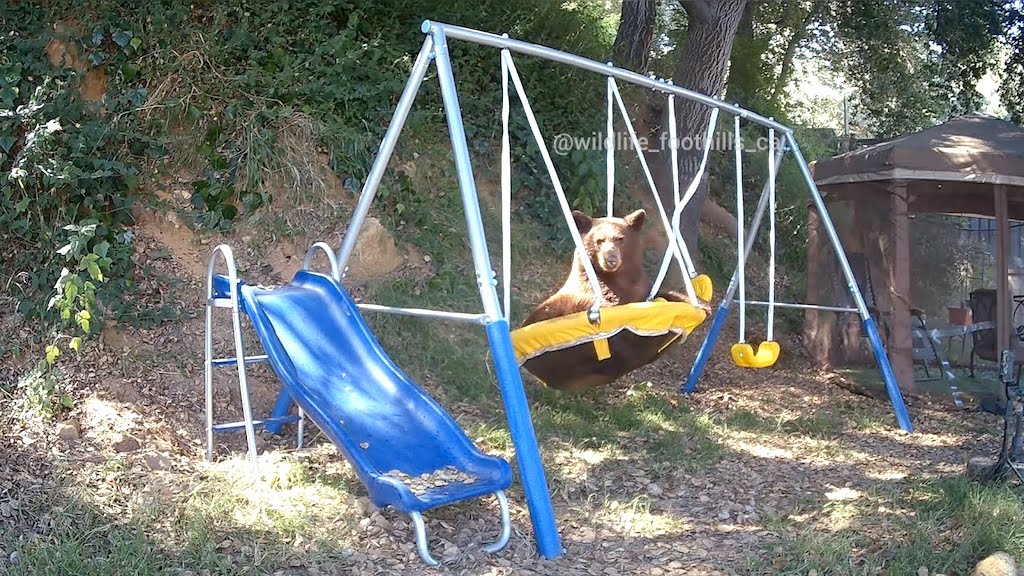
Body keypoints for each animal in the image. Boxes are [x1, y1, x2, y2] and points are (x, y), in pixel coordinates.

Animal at [520, 208, 704, 391]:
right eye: (599, 241)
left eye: (620, 239)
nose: (610, 259)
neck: (617, 278)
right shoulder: (596, 292)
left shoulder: (640, 286)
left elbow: (660, 294)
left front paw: (699, 304)